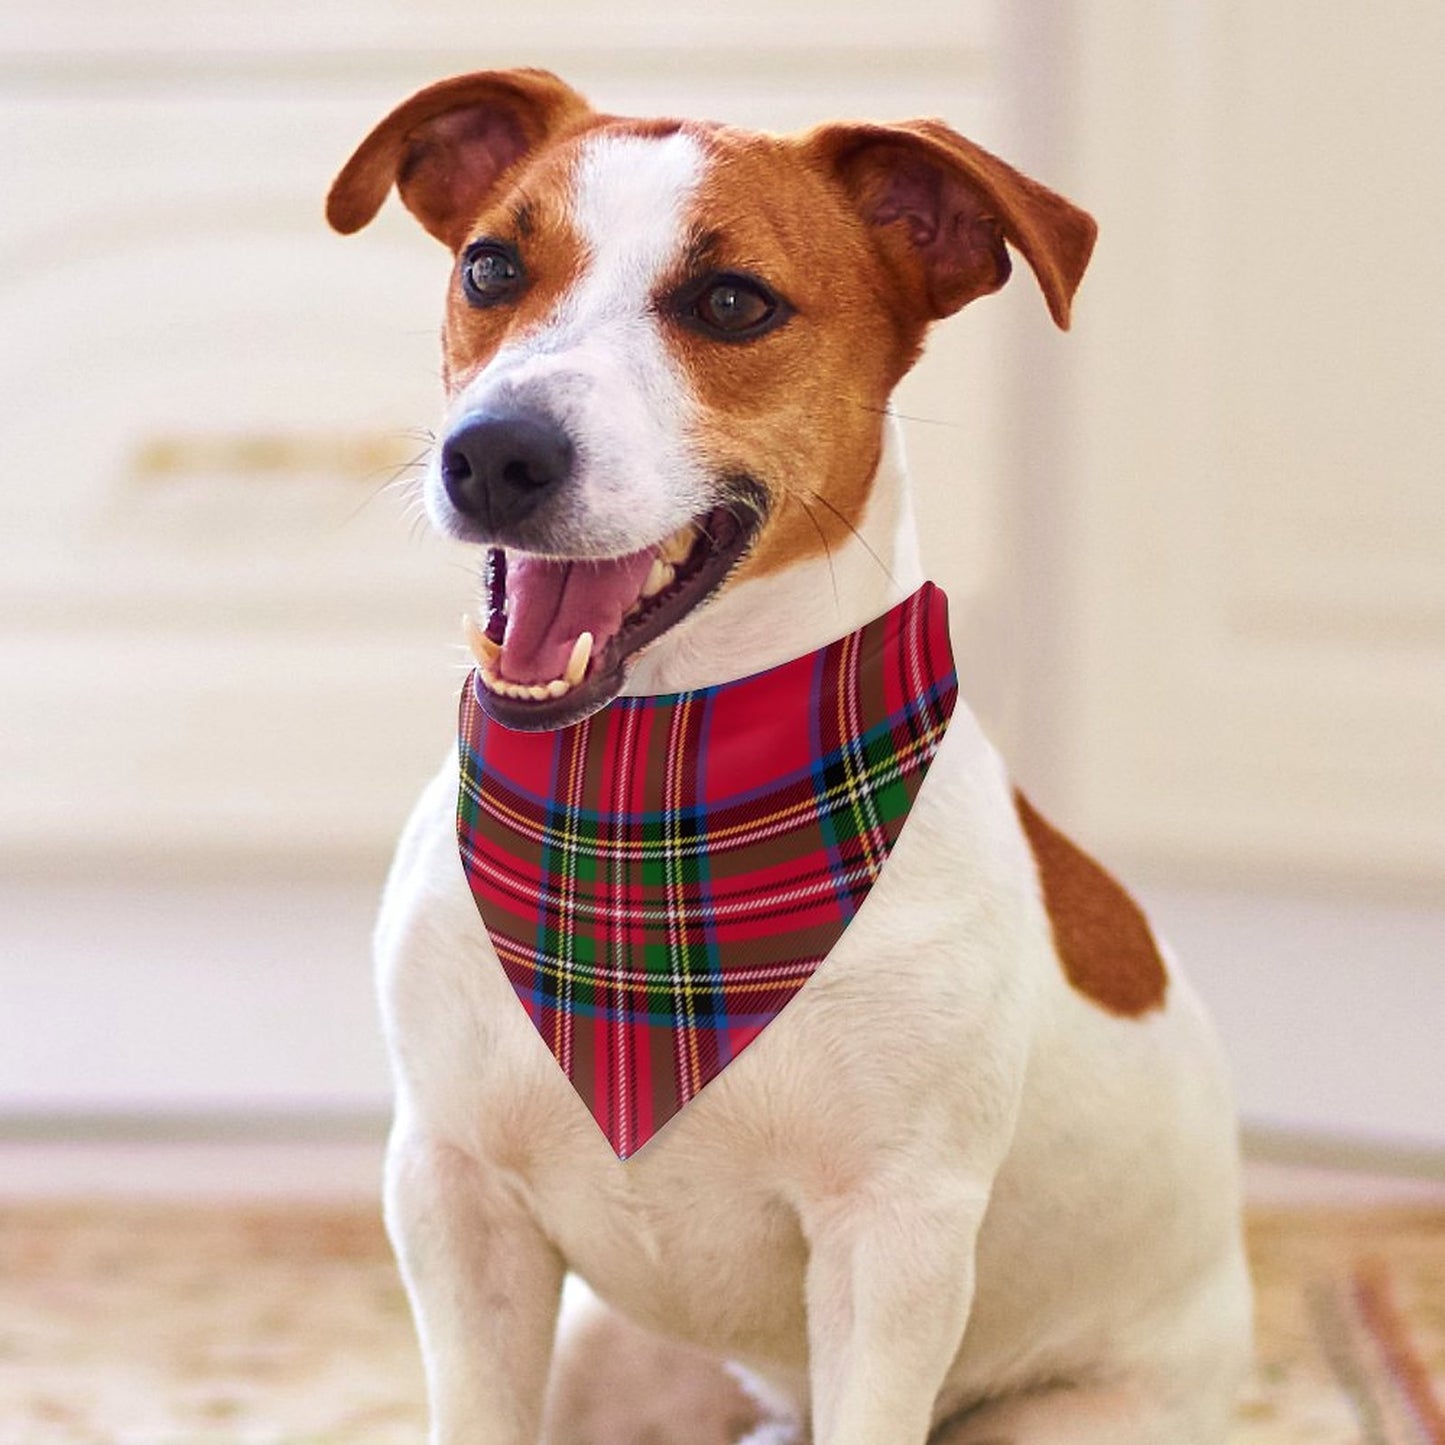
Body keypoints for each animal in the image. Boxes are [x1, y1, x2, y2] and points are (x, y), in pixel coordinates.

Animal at [328, 67, 1254, 1445]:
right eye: (492, 266)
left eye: (731, 302)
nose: (493, 451)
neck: (641, 799)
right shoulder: (453, 1194)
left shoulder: (894, 1239)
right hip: (608, 1355)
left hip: (1065, 1414)